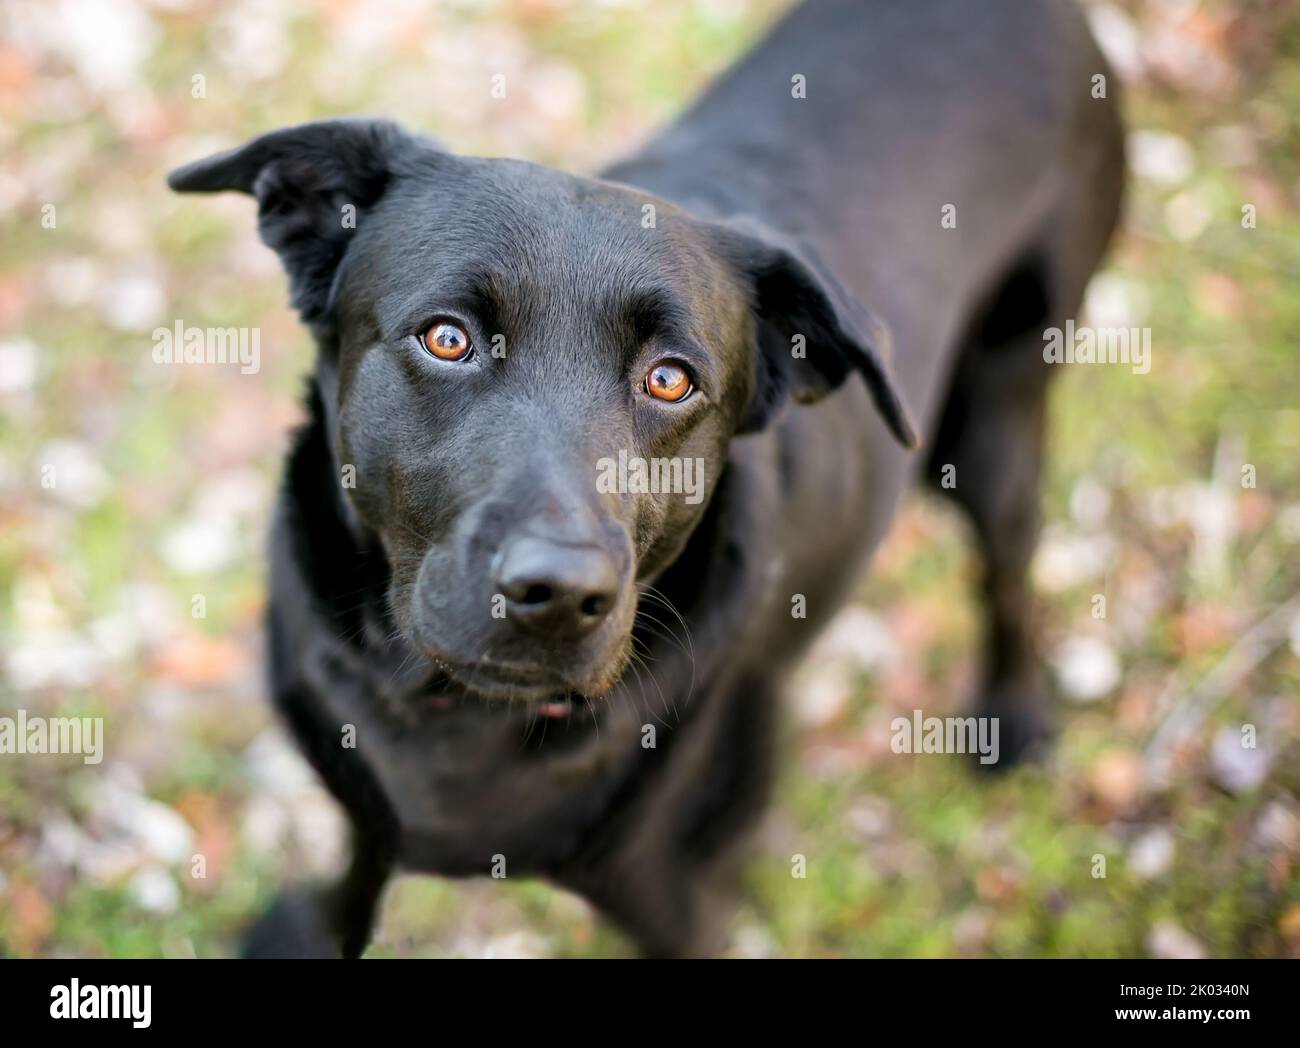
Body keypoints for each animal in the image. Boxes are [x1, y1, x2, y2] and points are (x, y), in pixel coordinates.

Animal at [167, 0, 1123, 962]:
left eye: (671, 380)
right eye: (446, 338)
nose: (560, 594)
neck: (446, 716)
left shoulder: (678, 895)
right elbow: (358, 872)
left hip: (995, 417)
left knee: (1007, 568)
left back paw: (1011, 720)